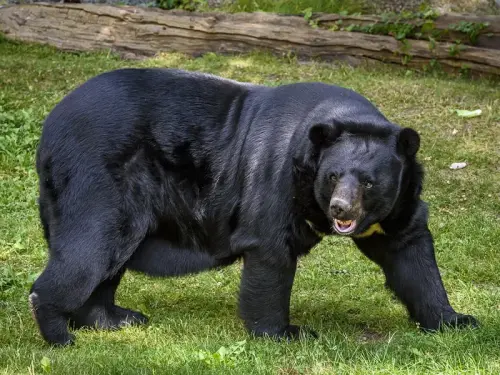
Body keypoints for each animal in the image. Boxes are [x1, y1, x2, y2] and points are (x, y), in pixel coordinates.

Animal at [30, 68, 476, 346]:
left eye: (369, 182)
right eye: (333, 176)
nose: (340, 210)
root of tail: (51, 124)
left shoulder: (399, 201)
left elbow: (409, 251)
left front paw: (456, 320)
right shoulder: (276, 174)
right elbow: (270, 251)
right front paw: (285, 332)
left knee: (107, 261)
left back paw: (115, 318)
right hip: (99, 179)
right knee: (91, 247)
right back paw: (60, 333)